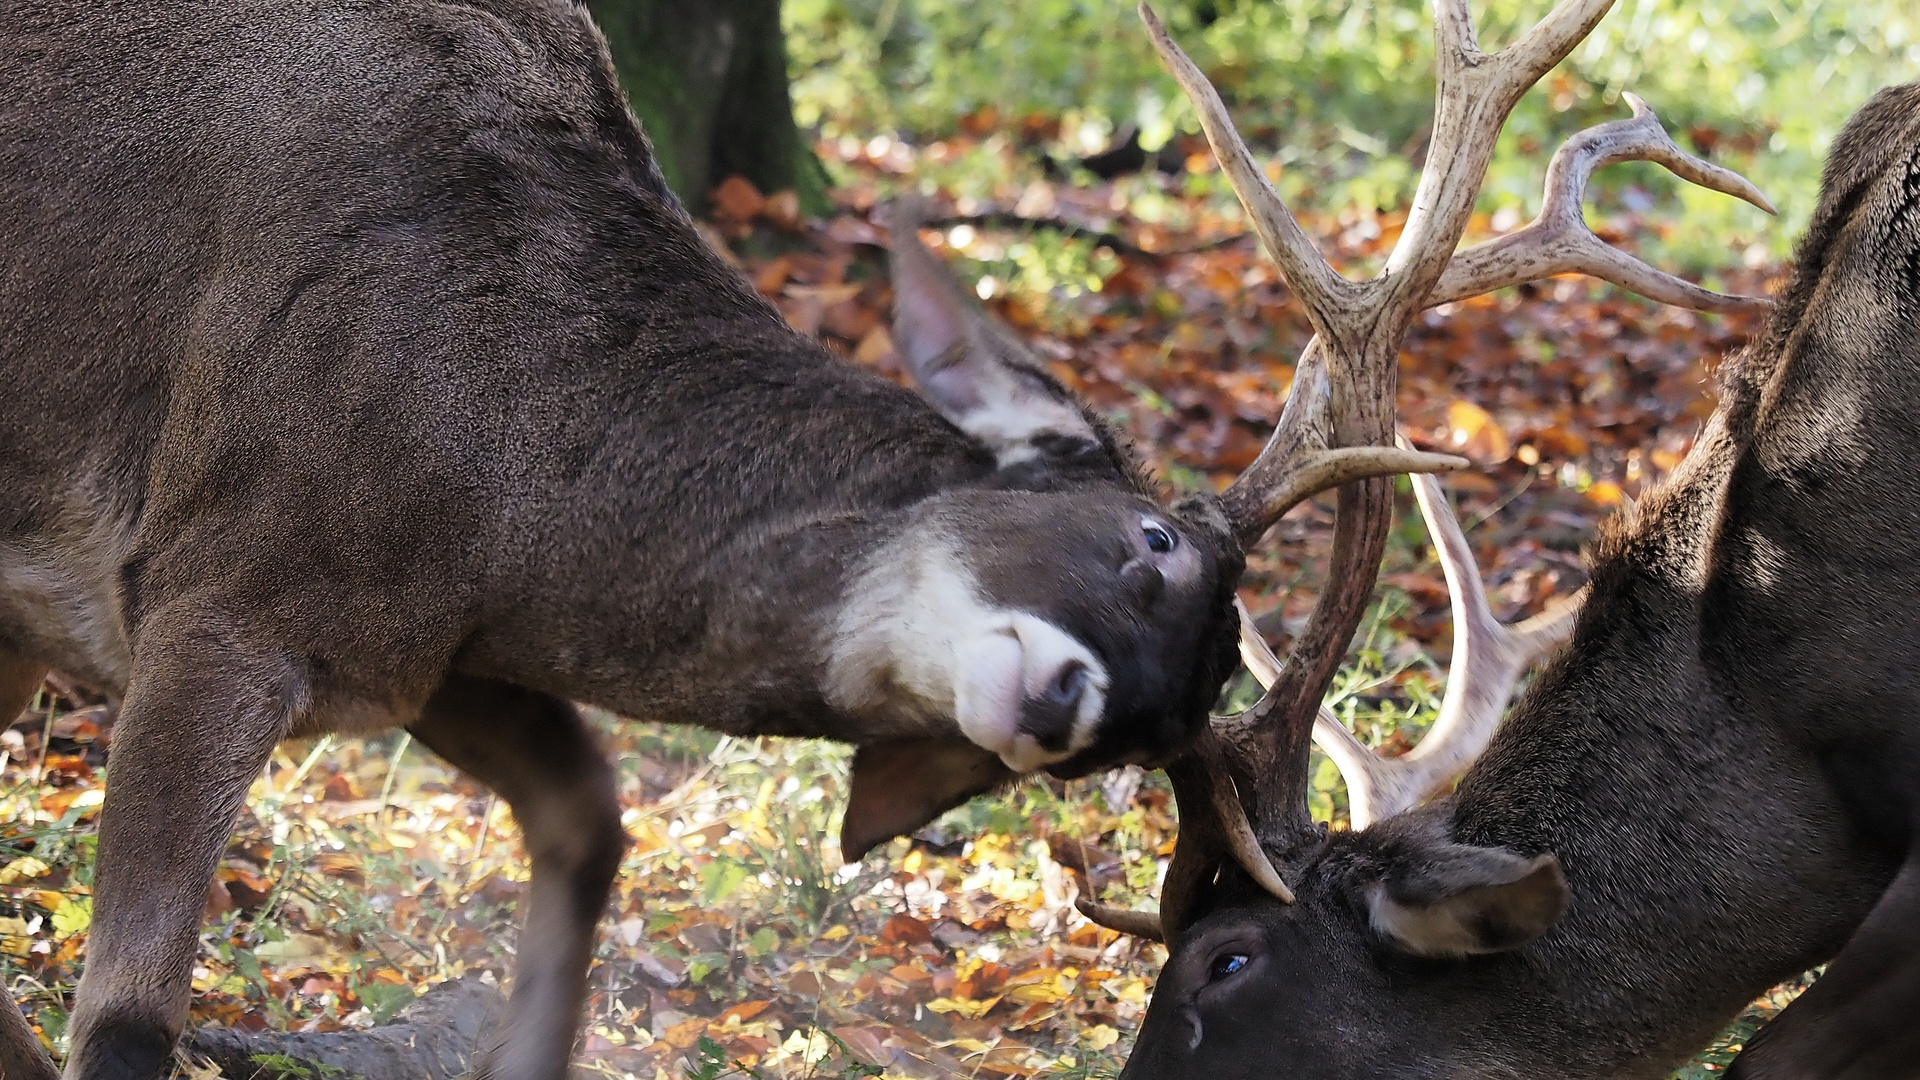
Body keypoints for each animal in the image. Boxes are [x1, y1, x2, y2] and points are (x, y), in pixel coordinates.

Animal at [0, 0, 1505, 1068]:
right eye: (1150, 538)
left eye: (1143, 745)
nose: (1067, 705)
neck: (496, 464)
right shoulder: (216, 590)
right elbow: (125, 1023)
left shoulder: (425, 654)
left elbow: (591, 824)